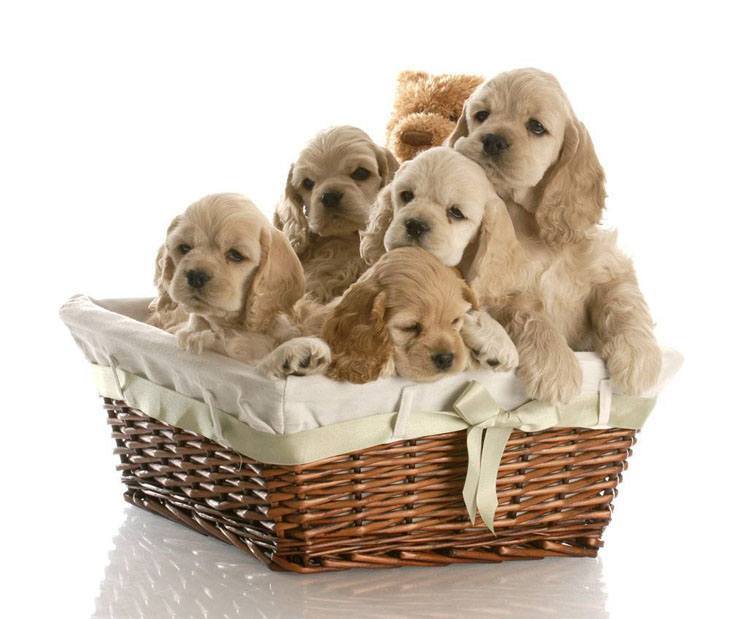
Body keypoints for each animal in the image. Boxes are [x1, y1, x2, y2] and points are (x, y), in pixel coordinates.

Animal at [148, 194, 330, 378]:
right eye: (184, 248)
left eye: (236, 255)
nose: (196, 276)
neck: (233, 325)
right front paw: (291, 352)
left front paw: (299, 353)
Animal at [436, 68, 664, 404]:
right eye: (481, 115)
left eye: (536, 126)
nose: (492, 140)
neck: (527, 221)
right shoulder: (498, 290)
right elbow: (529, 312)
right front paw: (556, 368)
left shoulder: (608, 263)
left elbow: (624, 299)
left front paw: (640, 359)